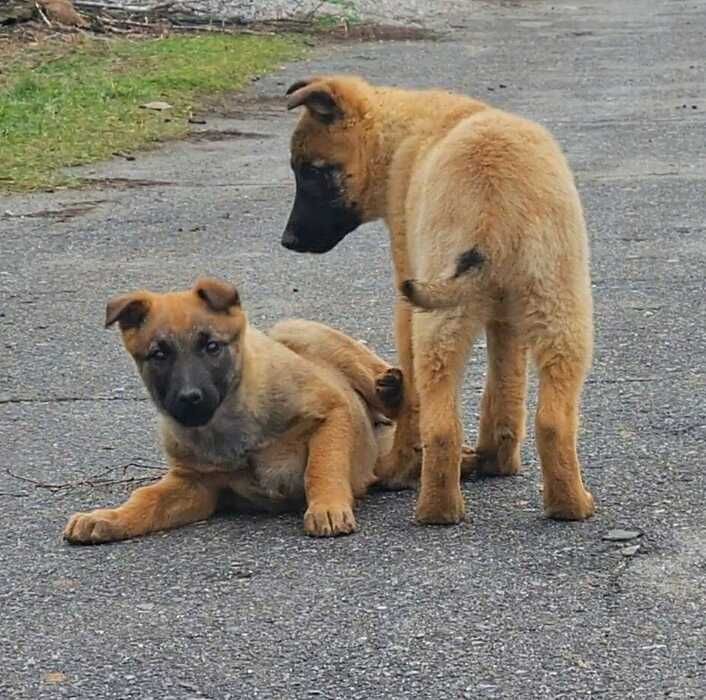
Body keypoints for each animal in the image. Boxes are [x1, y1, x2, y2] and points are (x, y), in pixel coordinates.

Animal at [63, 276, 404, 544]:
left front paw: (327, 508)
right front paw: (108, 518)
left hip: (302, 332)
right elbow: (146, 499)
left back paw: (392, 389)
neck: (229, 424)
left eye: (211, 346)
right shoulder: (193, 483)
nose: (190, 398)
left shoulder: (331, 412)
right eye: (159, 354)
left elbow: (322, 466)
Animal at [280, 75, 592, 524]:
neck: (405, 133)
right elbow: (505, 389)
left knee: (440, 423)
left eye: (313, 172)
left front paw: (400, 467)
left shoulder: (406, 296)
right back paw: (569, 503)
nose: (287, 241)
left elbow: (414, 404)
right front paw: (496, 460)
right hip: (560, 308)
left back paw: (435, 507)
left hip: (437, 318)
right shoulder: (505, 319)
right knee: (553, 419)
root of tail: (496, 200)